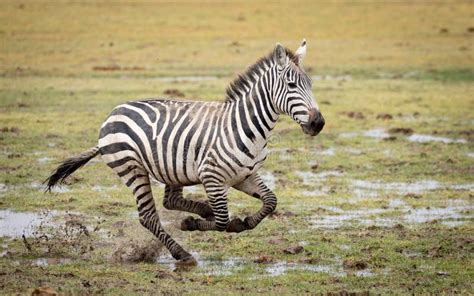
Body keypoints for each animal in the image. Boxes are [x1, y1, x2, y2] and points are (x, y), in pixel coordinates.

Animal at [45, 39, 326, 264]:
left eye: (311, 84)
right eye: (291, 84)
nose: (318, 123)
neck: (247, 127)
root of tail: (114, 111)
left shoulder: (244, 176)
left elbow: (270, 201)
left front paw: (244, 222)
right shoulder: (212, 177)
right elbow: (222, 220)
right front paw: (193, 224)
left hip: (173, 168)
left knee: (170, 201)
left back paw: (201, 212)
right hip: (132, 169)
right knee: (148, 216)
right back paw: (182, 252)